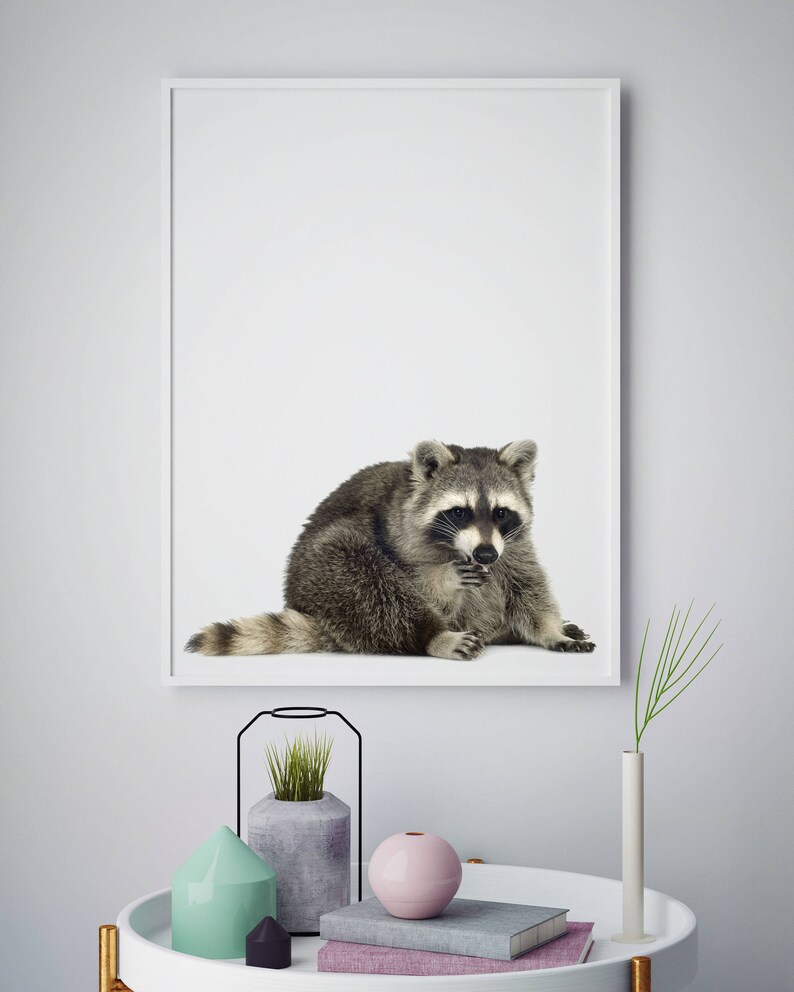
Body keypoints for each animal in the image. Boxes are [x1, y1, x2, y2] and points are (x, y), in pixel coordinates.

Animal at [185, 440, 595, 661]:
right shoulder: (398, 530)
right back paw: (433, 635)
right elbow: (410, 579)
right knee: (361, 577)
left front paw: (549, 630)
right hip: (318, 575)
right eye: (459, 511)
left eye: (500, 512)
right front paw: (442, 581)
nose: (484, 556)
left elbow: (529, 587)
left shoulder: (513, 545)